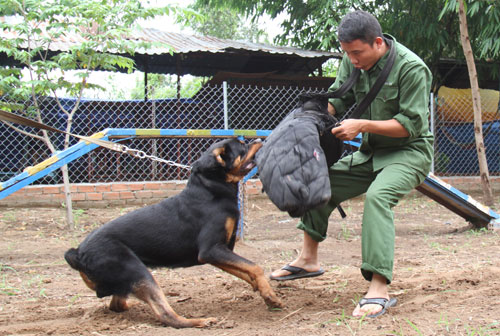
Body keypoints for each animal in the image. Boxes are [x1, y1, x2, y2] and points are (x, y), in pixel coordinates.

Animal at [63, 138, 282, 328]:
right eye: (242, 147)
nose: (258, 140)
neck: (211, 190)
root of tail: (78, 253)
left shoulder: (219, 252)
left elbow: (245, 270)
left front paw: (260, 289)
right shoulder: (211, 250)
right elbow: (255, 267)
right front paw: (270, 295)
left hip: (125, 276)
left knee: (117, 304)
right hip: (135, 269)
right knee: (165, 314)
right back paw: (199, 321)